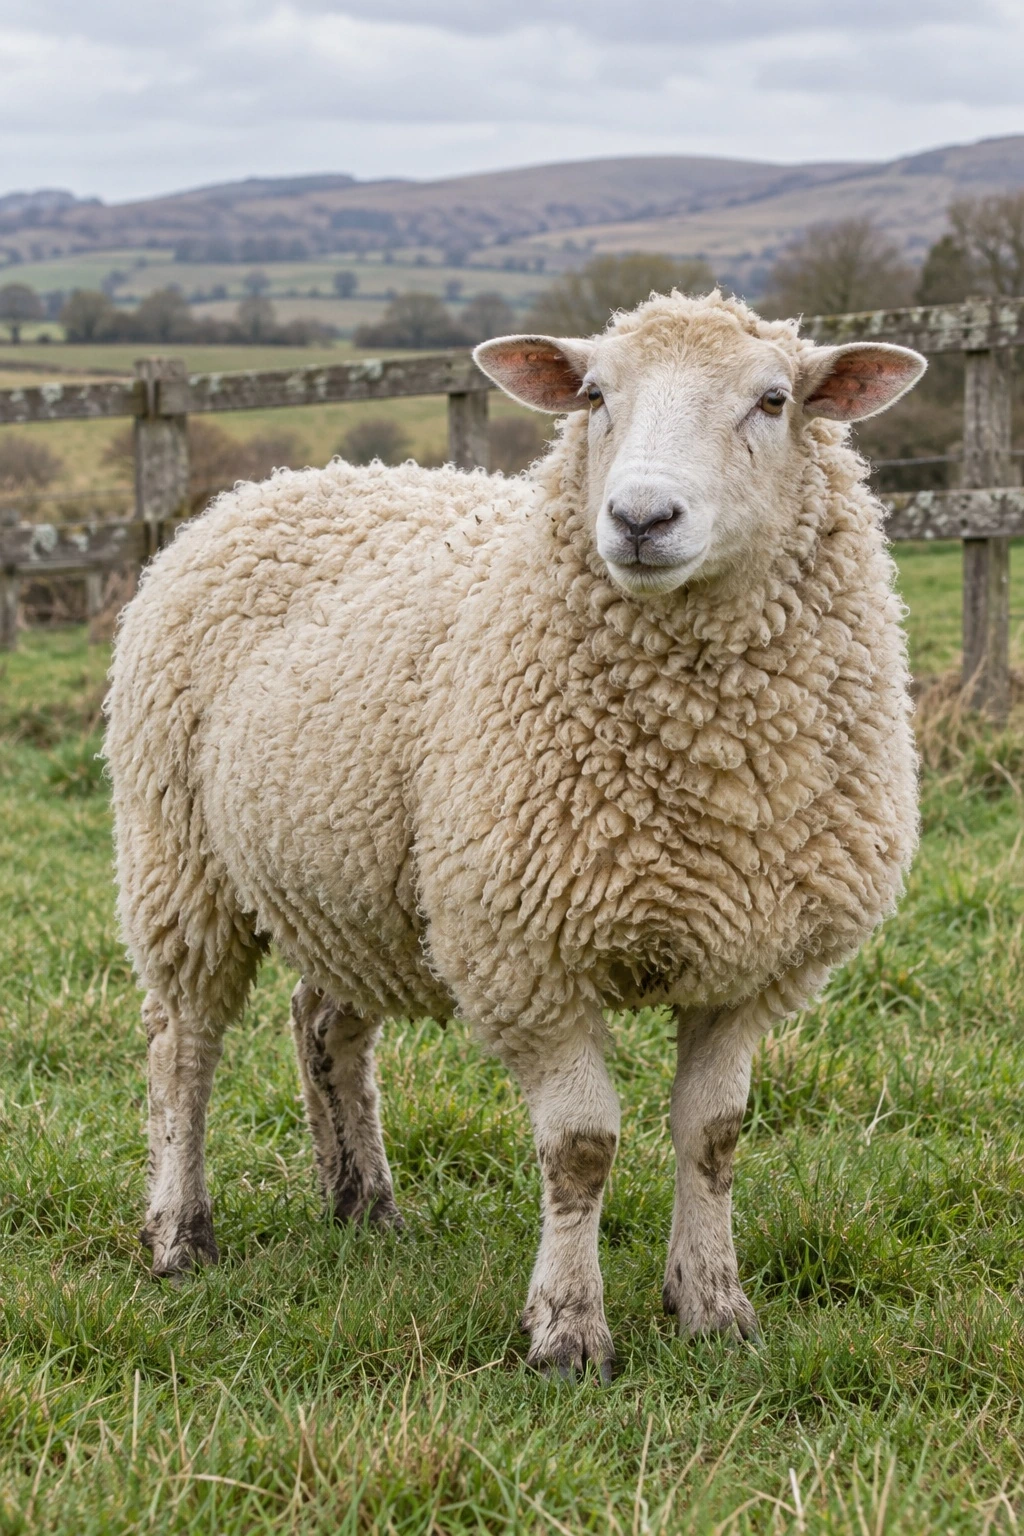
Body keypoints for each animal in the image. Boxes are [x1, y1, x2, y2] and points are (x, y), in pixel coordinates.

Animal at [105, 290, 925, 1380]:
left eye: (773, 400)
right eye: (594, 395)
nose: (639, 519)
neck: (709, 762)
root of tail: (276, 484)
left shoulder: (749, 961)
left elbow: (714, 1136)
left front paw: (713, 1307)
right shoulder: (526, 951)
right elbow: (580, 1148)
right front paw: (568, 1331)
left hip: (351, 879)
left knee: (324, 1027)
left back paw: (362, 1204)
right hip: (177, 854)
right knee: (182, 1045)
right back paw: (179, 1235)